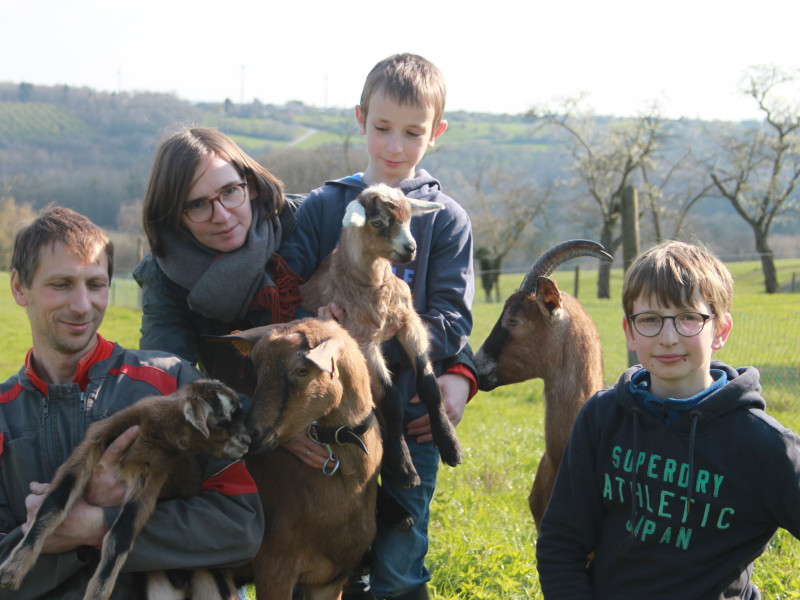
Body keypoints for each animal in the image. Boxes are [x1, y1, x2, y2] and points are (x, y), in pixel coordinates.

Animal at [0, 380, 248, 600]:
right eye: (225, 416)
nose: (247, 440)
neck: (155, 430)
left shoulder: (151, 478)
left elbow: (120, 535)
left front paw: (96, 594)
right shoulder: (94, 444)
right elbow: (53, 504)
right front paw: (11, 571)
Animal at [298, 185, 462, 490]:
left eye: (409, 218)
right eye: (377, 222)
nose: (411, 248)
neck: (372, 286)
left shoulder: (409, 322)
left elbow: (429, 385)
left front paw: (451, 446)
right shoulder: (364, 341)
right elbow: (392, 400)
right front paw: (405, 469)